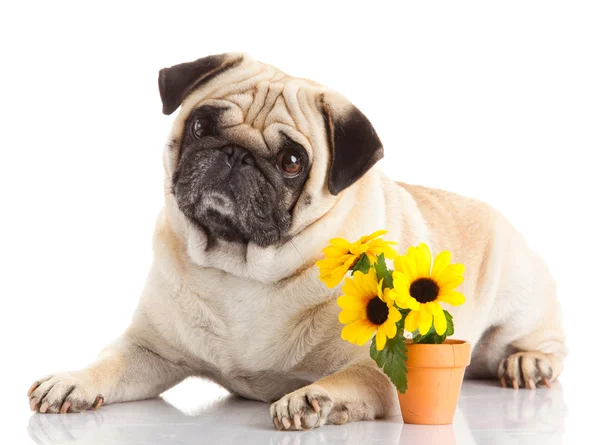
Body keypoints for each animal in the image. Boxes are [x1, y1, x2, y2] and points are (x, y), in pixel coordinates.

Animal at [28, 53, 568, 430]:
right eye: (201, 125)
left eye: (292, 161)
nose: (235, 154)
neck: (241, 269)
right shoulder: (150, 349)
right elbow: (109, 361)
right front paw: (72, 381)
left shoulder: (383, 366)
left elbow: (350, 377)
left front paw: (314, 399)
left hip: (519, 300)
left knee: (542, 343)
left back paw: (528, 363)